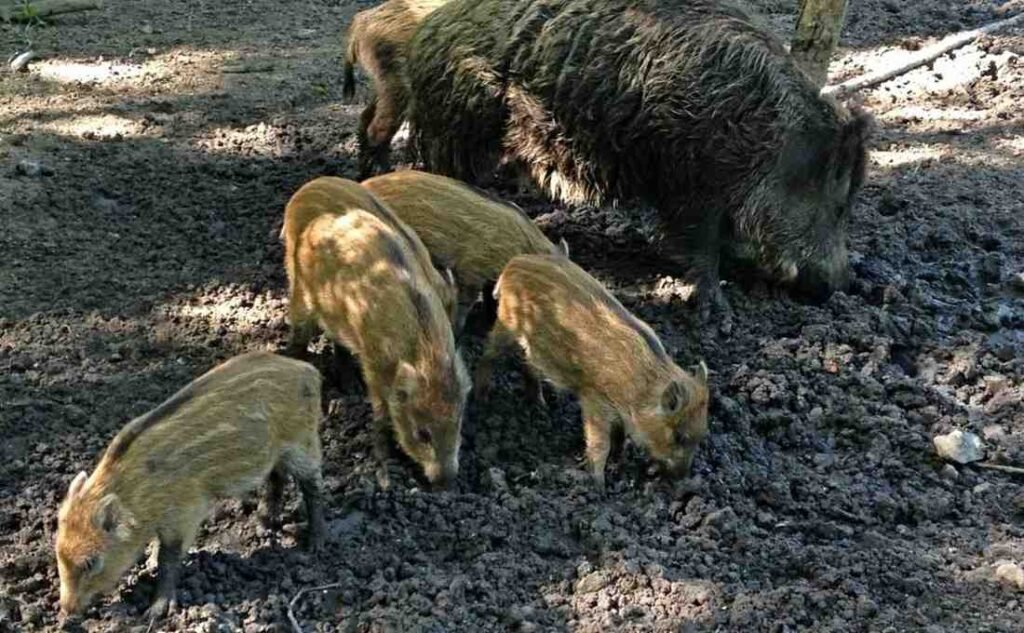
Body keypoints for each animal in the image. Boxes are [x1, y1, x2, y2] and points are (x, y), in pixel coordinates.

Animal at [55, 351, 326, 621]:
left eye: (91, 562)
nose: (66, 612)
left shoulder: (186, 512)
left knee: (312, 485)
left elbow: (169, 557)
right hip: (276, 452)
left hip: (303, 441)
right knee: (277, 476)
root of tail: (308, 370)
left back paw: (314, 544)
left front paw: (156, 611)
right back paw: (263, 524)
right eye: (58, 555)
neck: (139, 494)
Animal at [341, 0, 451, 178]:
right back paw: (387, 173)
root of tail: (361, 22)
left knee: (365, 118)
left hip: (381, 85)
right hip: (395, 86)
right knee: (377, 130)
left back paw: (364, 173)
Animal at [405, 0, 873, 319]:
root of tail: (427, 31)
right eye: (838, 206)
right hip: (457, 129)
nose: (842, 284)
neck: (767, 143)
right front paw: (717, 311)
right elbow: (700, 247)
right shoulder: (691, 187)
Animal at [474, 254, 710, 490]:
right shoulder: (594, 399)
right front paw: (599, 485)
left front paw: (618, 460)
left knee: (528, 364)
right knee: (488, 355)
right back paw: (482, 398)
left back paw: (540, 406)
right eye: (679, 436)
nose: (681, 478)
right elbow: (600, 443)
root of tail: (513, 264)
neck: (641, 389)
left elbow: (619, 435)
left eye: (701, 436)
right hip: (505, 324)